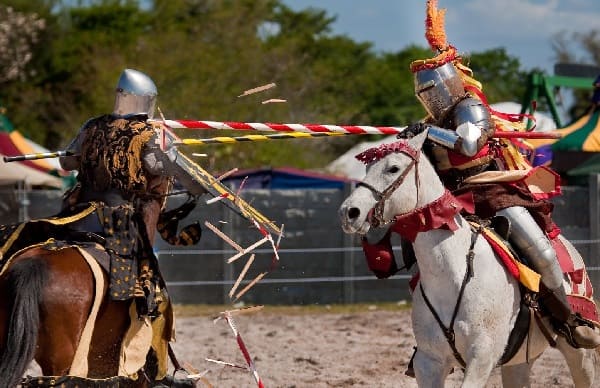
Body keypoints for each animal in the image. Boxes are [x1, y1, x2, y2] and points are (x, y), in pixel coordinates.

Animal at [340, 132, 596, 386]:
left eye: (393, 168)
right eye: (367, 167)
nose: (349, 212)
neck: (451, 274)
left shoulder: (482, 357)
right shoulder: (428, 362)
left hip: (580, 354)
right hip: (519, 362)